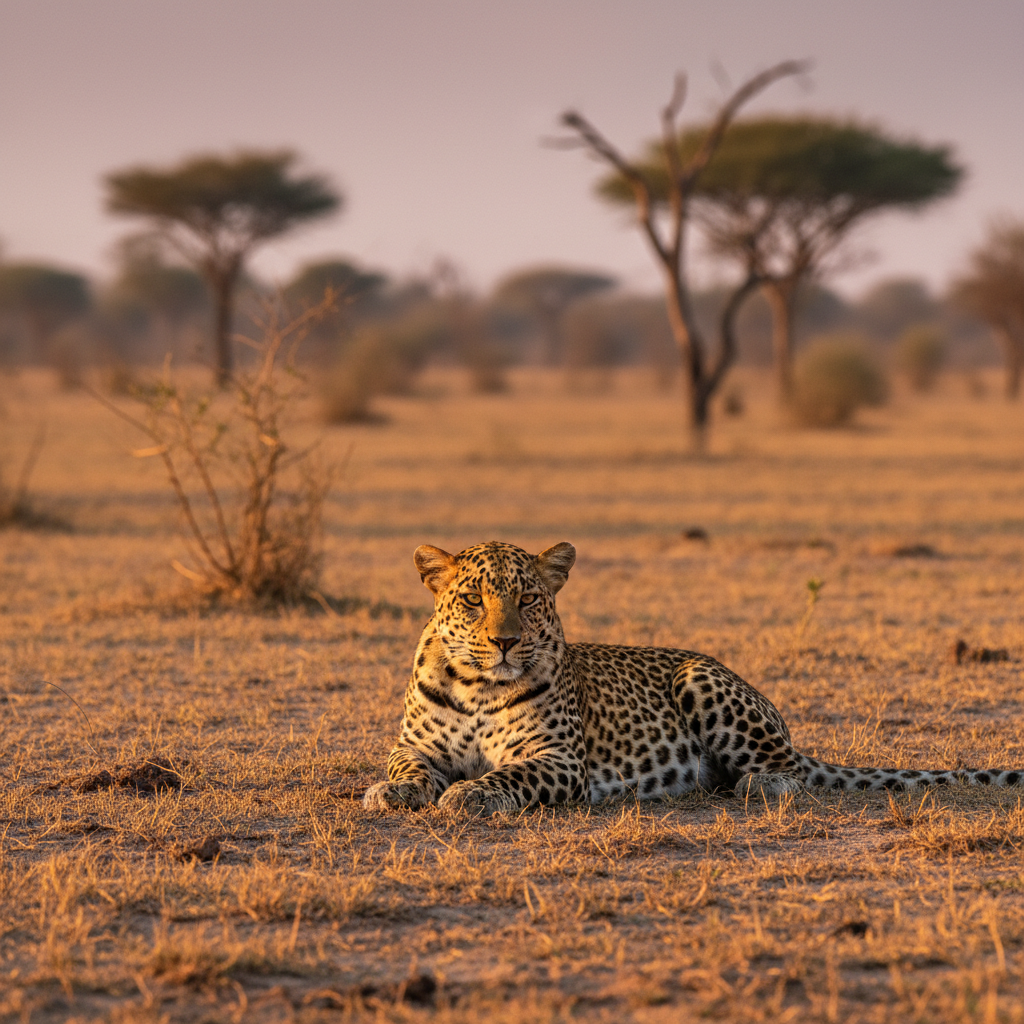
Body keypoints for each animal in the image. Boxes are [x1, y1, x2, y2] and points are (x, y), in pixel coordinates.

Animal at [363, 540, 1023, 817]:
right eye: (473, 600)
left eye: (527, 599)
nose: (505, 642)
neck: (480, 686)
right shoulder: (415, 746)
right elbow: (405, 769)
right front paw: (391, 792)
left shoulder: (557, 759)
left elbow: (509, 775)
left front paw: (471, 793)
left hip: (701, 678)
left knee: (790, 775)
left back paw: (758, 785)